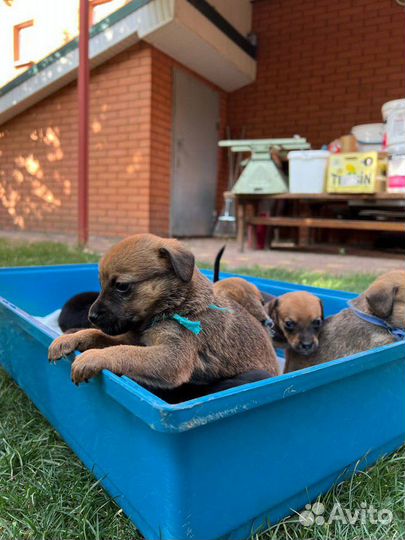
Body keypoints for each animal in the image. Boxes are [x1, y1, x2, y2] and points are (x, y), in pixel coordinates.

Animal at [47, 234, 280, 386]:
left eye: (122, 286)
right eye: (101, 284)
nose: (91, 316)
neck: (178, 306)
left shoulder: (171, 357)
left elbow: (124, 351)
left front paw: (91, 357)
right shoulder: (134, 338)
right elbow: (97, 335)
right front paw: (67, 339)